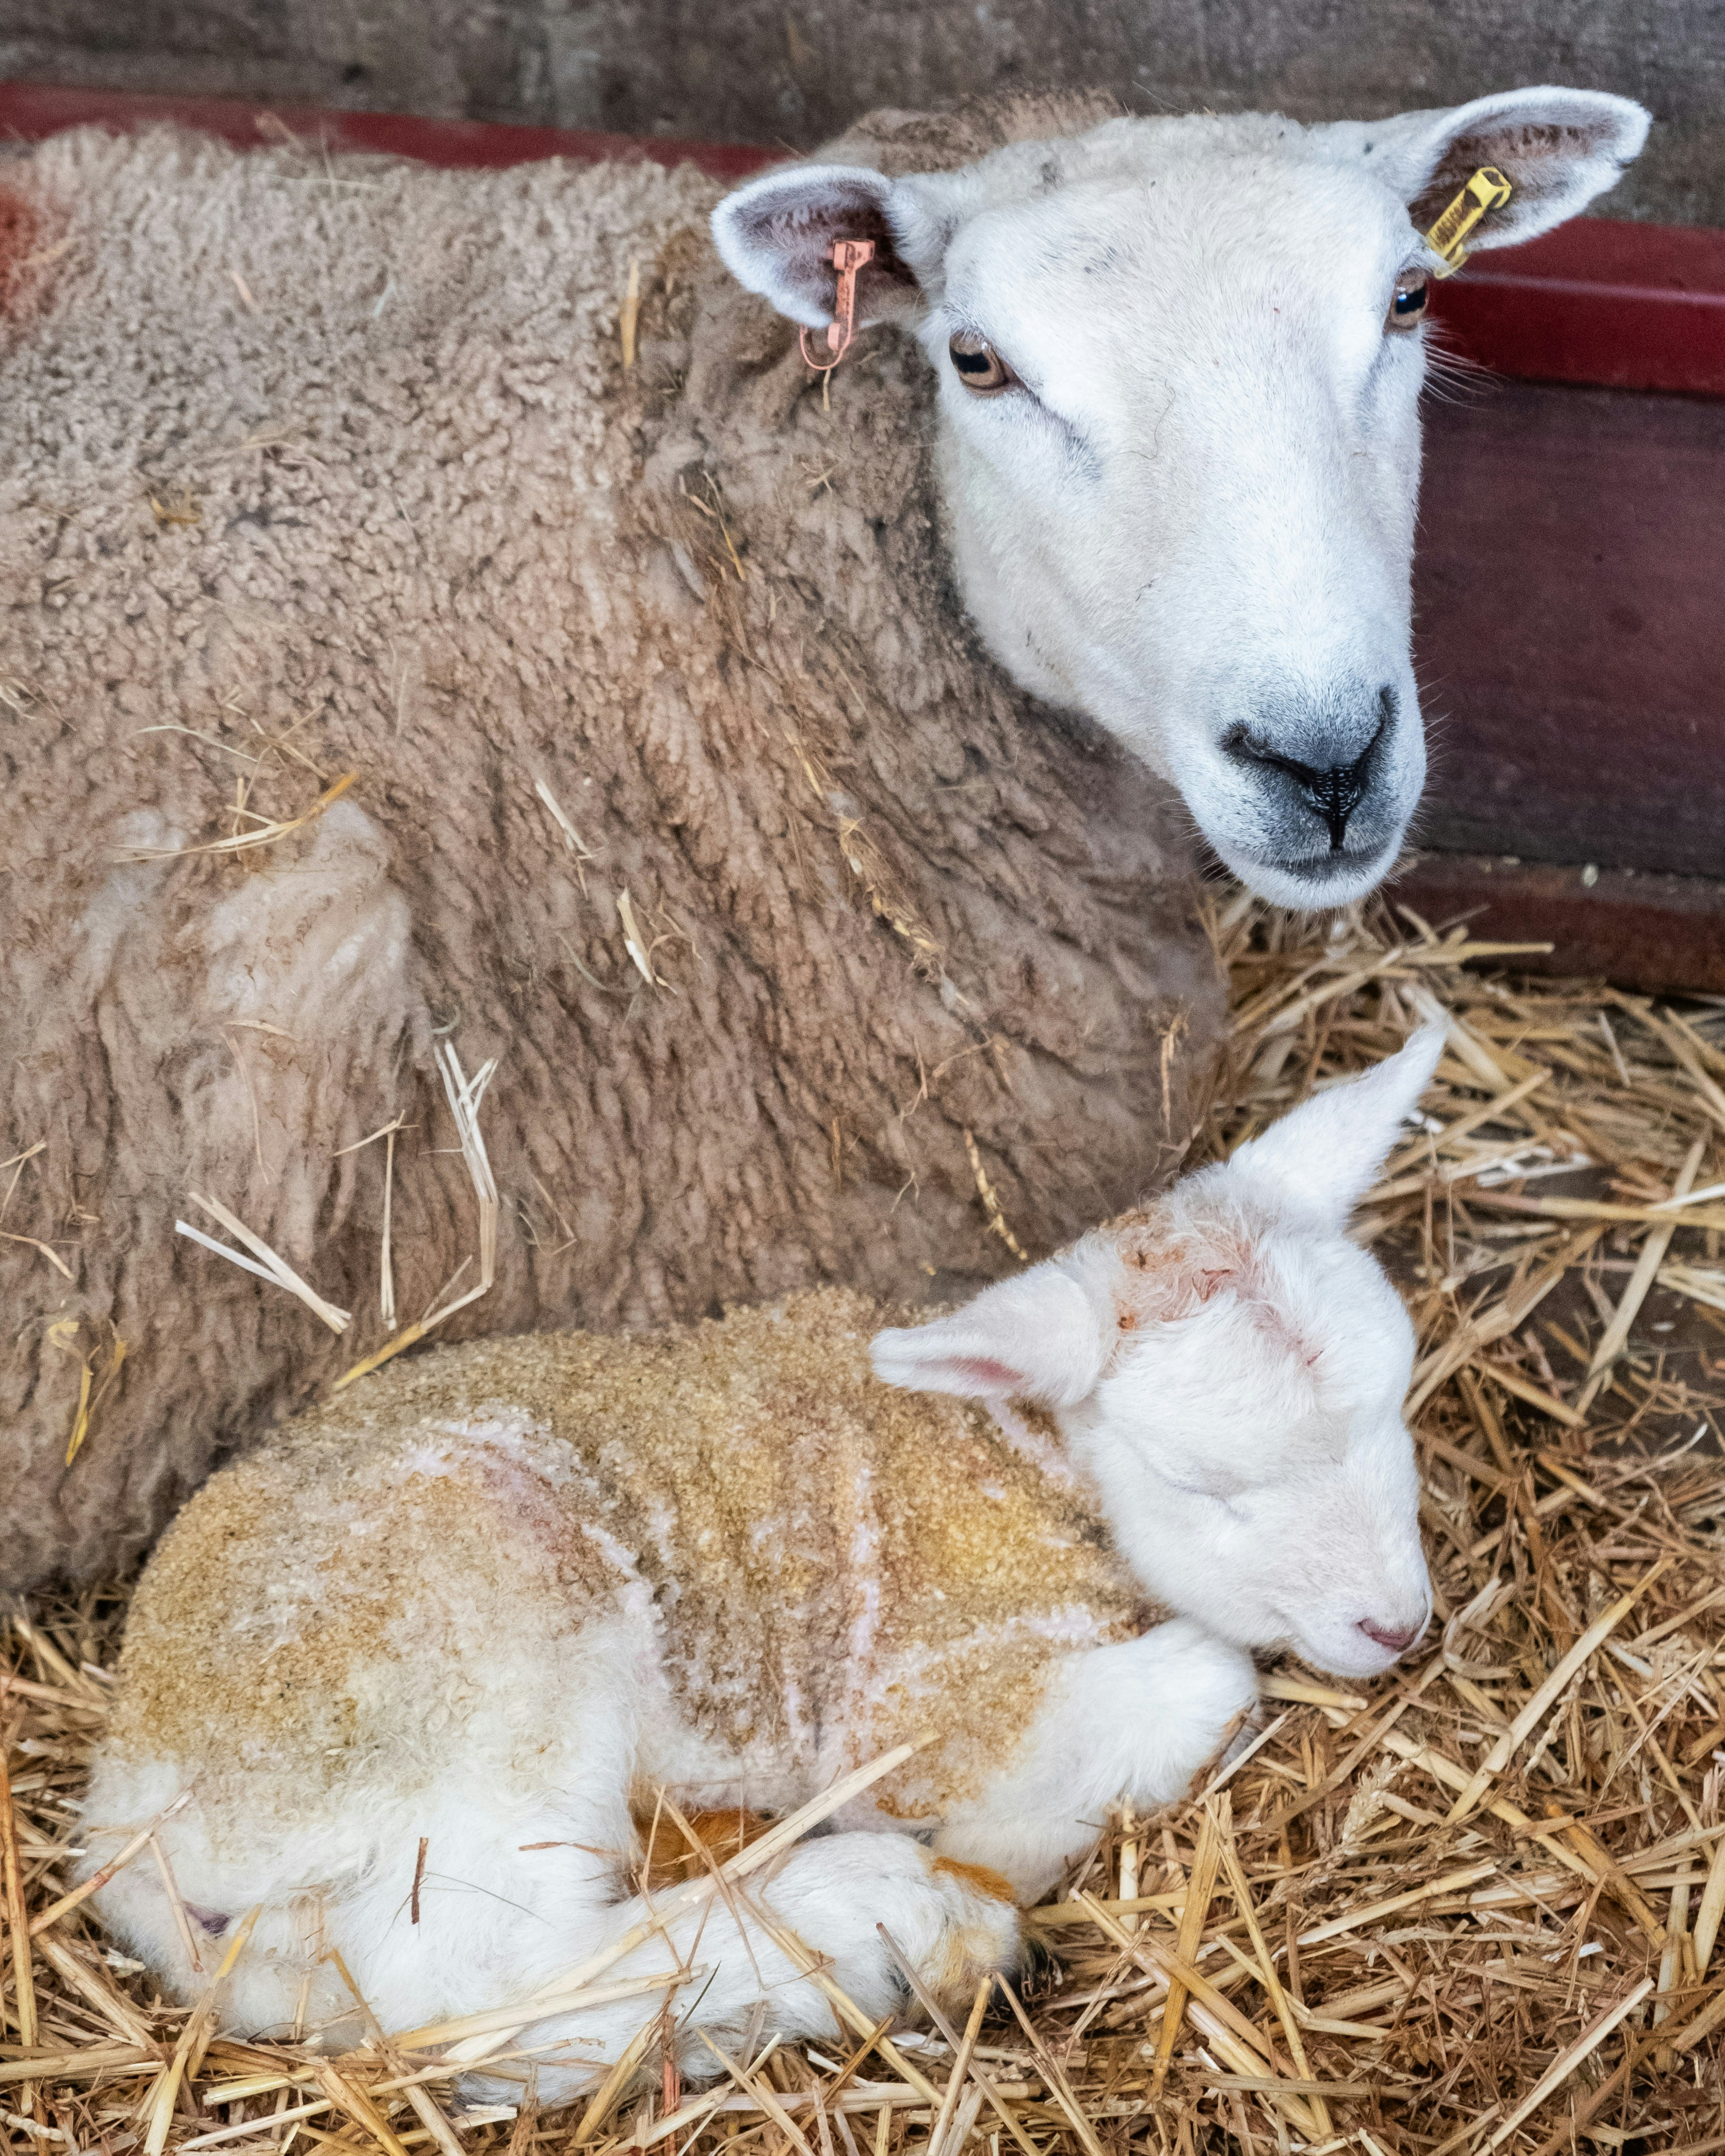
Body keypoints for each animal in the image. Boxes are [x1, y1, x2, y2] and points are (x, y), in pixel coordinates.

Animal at [79, 1029, 1443, 2094]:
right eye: (1206, 1486)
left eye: (1397, 1406)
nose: (1397, 1625)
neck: (1019, 1453)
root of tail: (135, 1817)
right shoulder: (910, 1703)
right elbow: (1204, 1678)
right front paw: (1033, 1819)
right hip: (472, 1651)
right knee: (472, 1987)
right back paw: (887, 1918)